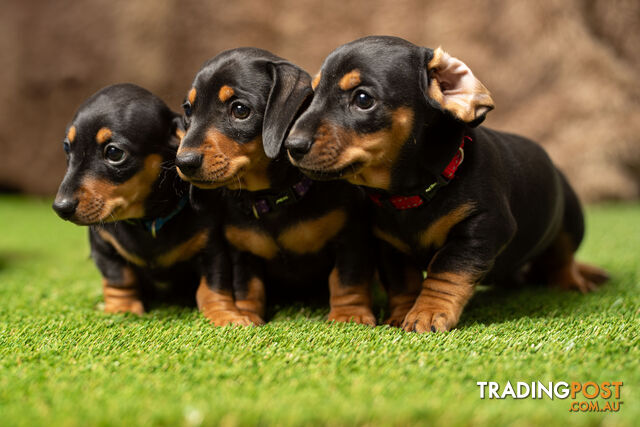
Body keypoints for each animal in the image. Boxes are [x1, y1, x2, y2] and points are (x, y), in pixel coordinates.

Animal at [53, 83, 230, 320]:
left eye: (114, 152)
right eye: (67, 148)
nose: (60, 207)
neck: (149, 222)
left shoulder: (212, 247)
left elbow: (214, 285)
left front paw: (224, 315)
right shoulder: (104, 245)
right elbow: (119, 278)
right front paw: (122, 309)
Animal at [172, 46, 378, 326]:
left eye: (240, 109)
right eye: (188, 110)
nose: (183, 162)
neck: (273, 199)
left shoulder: (351, 237)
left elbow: (347, 279)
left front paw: (349, 314)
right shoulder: (242, 251)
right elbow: (247, 286)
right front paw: (245, 315)